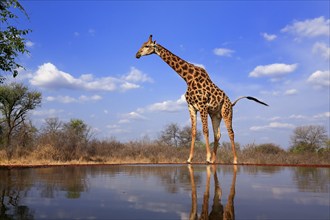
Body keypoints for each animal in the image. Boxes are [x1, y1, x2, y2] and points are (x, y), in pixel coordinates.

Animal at [135, 34, 266, 163]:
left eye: (147, 46)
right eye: (142, 44)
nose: (137, 55)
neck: (188, 78)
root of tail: (231, 103)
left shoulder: (202, 106)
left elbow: (205, 130)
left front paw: (207, 157)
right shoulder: (191, 107)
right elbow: (193, 132)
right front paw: (190, 159)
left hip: (226, 112)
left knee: (231, 133)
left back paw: (234, 160)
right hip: (215, 115)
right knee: (217, 134)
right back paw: (214, 160)